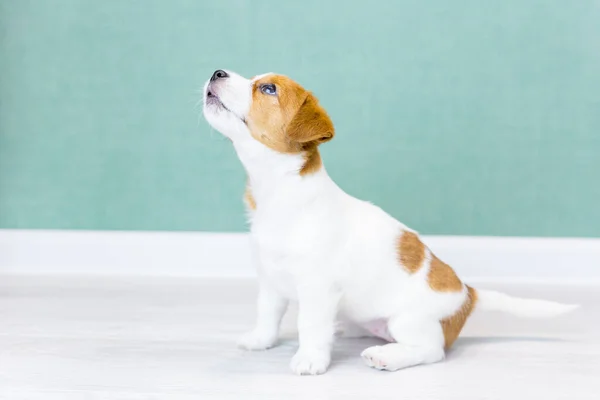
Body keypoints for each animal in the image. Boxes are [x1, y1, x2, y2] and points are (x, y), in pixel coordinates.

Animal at [203, 68, 580, 376]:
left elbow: (310, 325)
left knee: (431, 351)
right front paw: (260, 340)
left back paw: (387, 356)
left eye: (267, 89)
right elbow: (267, 314)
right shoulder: (270, 280)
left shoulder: (317, 288)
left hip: (408, 321)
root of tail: (468, 295)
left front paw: (310, 360)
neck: (280, 193)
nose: (217, 71)